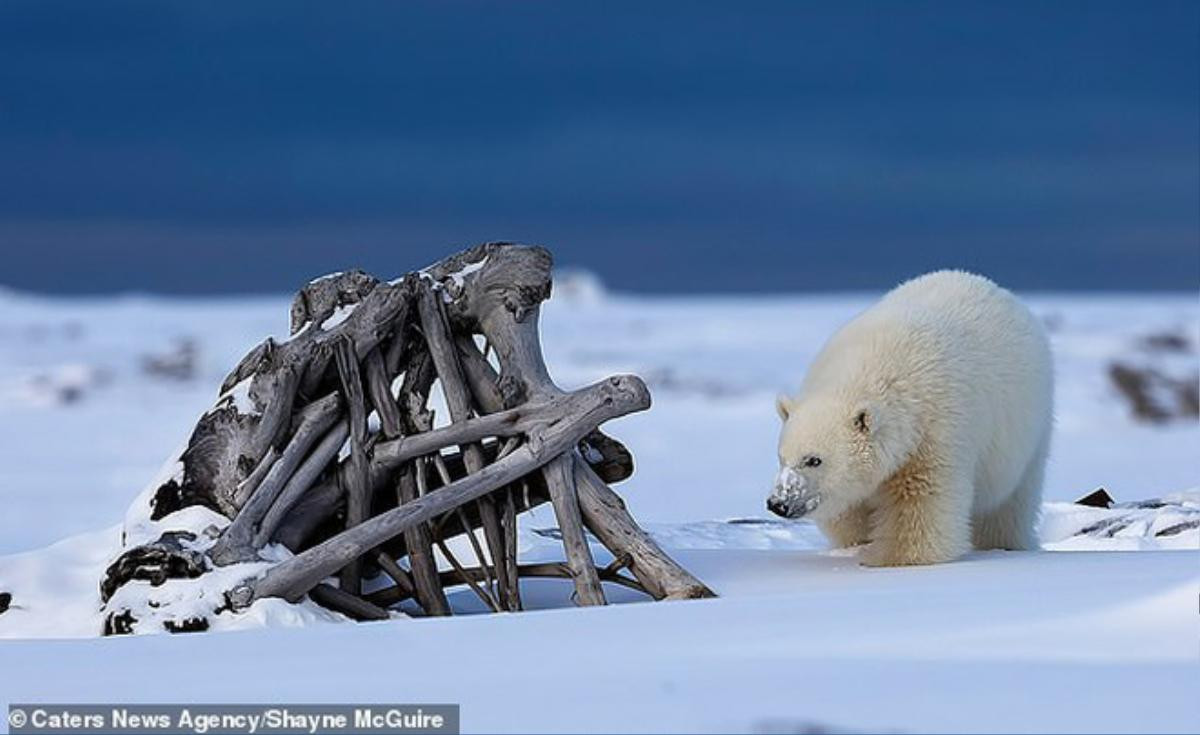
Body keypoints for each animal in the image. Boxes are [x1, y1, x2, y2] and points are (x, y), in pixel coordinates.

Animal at [768, 272, 1051, 564]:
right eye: (781, 457)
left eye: (814, 460)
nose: (778, 503)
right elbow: (850, 509)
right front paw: (858, 542)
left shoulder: (933, 434)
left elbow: (919, 502)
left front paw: (891, 557)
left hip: (1026, 430)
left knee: (1009, 502)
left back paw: (1004, 543)